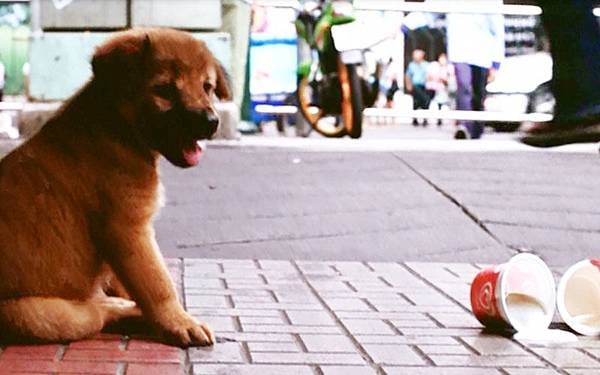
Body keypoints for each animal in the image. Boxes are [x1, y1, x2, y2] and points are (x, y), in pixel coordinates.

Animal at [0, 27, 230, 348]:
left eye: (207, 87)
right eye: (165, 90)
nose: (211, 122)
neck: (117, 127)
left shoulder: (126, 241)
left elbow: (131, 282)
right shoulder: (129, 230)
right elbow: (158, 284)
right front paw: (179, 322)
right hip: (34, 314)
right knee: (95, 312)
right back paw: (120, 308)